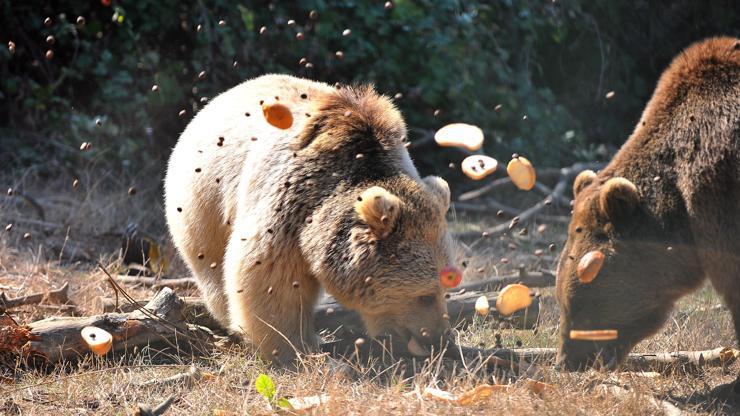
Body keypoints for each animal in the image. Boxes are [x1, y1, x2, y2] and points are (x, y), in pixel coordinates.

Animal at [165, 75, 456, 364]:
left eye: (447, 287)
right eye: (425, 296)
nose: (440, 338)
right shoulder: (289, 206)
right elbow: (269, 278)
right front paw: (290, 347)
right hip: (206, 200)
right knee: (212, 264)